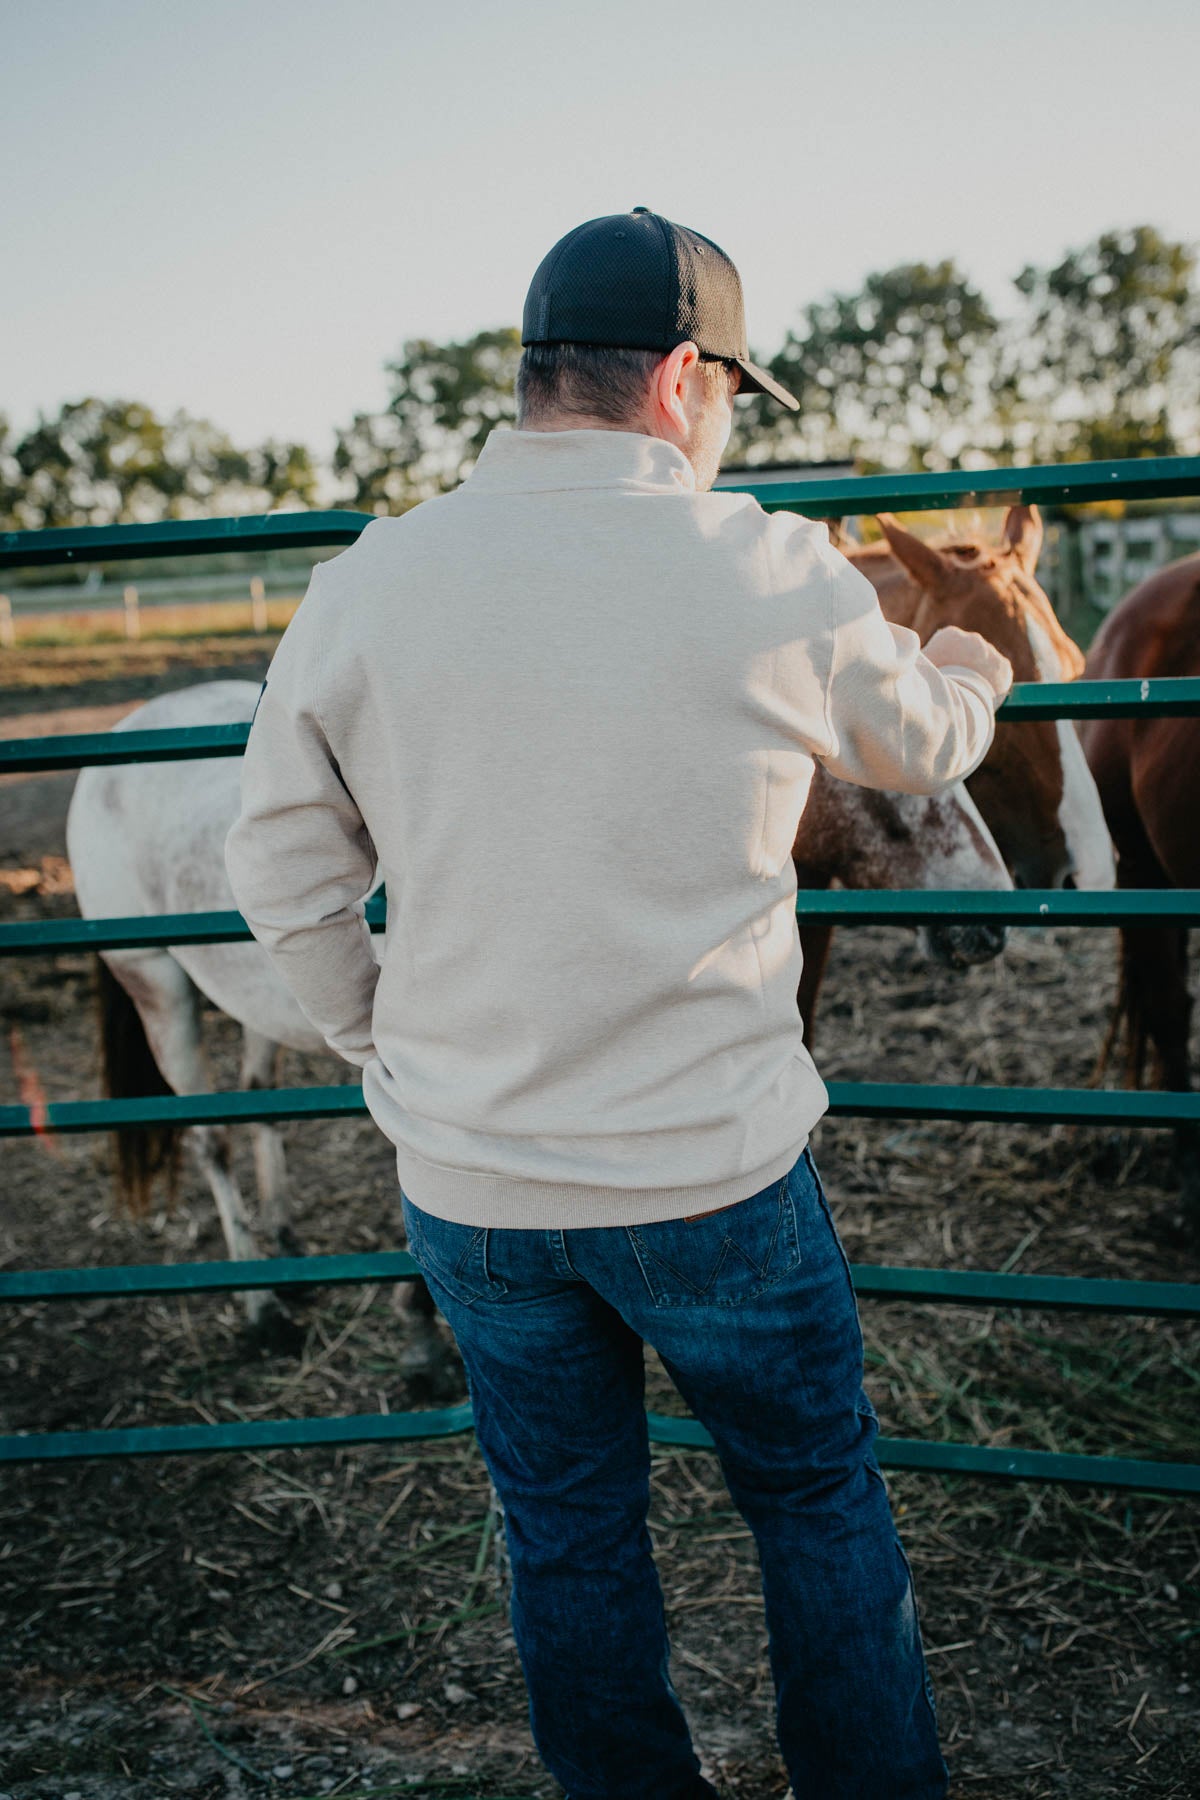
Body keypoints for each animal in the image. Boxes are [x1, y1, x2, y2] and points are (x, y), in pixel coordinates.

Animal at [63, 680, 1014, 1346]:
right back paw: (262, 1306)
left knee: (257, 1109)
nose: (990, 918)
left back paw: (286, 1239)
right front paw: (421, 1330)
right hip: (158, 988)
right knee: (210, 1137)